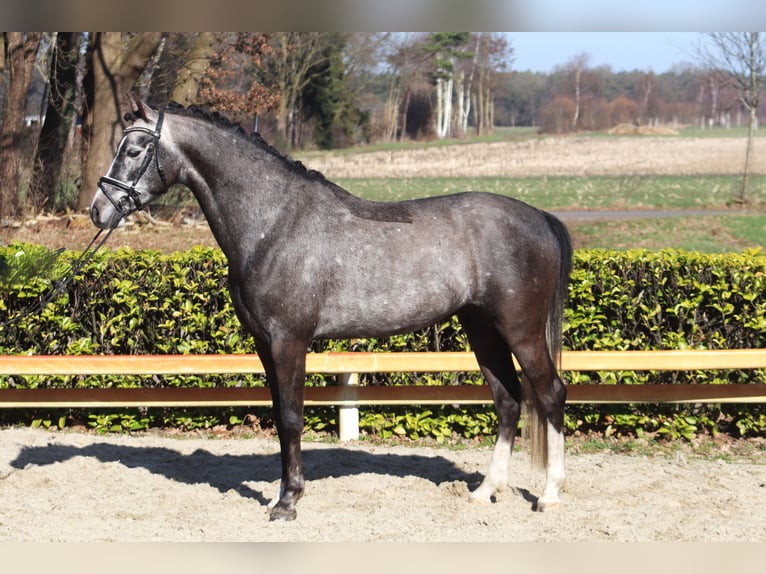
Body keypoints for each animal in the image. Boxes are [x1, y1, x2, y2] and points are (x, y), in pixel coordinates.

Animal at [90, 93, 573, 521]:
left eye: (134, 149)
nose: (99, 211)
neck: (273, 223)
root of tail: (540, 217)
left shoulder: (289, 342)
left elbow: (291, 418)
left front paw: (287, 502)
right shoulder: (265, 345)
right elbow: (279, 417)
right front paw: (281, 494)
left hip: (521, 331)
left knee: (550, 393)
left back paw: (549, 495)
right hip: (482, 330)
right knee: (508, 401)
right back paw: (486, 490)